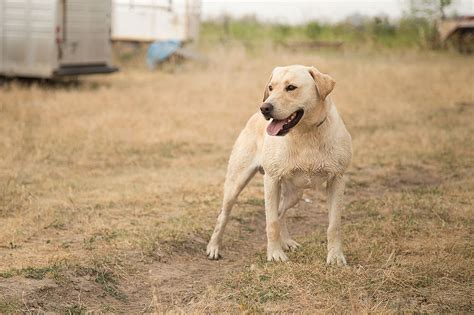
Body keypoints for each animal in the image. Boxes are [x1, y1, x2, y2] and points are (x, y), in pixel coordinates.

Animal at [207, 65, 352, 264]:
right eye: (270, 87)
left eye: (291, 87)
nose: (264, 108)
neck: (305, 134)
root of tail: (253, 116)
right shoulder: (272, 180)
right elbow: (272, 222)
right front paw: (275, 254)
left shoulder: (337, 179)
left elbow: (334, 225)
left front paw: (335, 256)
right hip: (235, 184)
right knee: (224, 214)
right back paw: (213, 247)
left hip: (295, 193)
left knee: (281, 211)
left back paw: (287, 242)